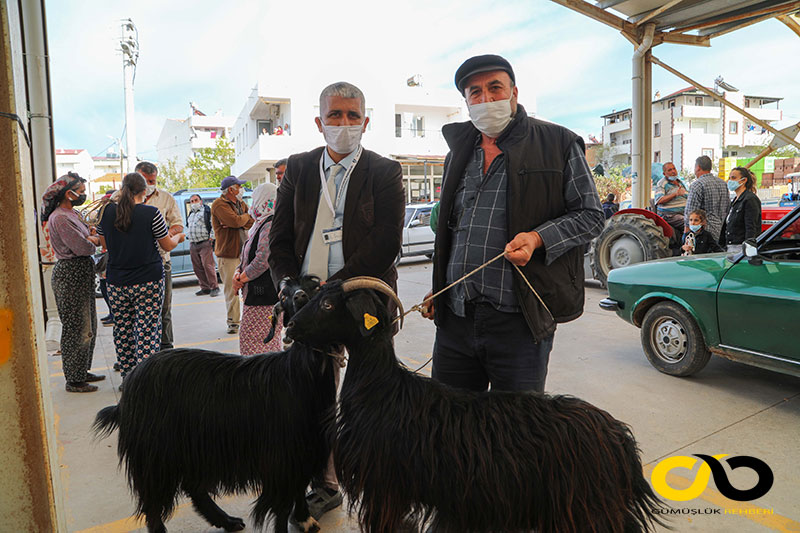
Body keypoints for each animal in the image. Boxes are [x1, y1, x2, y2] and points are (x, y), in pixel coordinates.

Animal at [93, 276, 332, 528]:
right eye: (284, 295)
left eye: (316, 286)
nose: (300, 297)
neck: (296, 373)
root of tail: (128, 390)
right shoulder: (281, 456)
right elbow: (283, 506)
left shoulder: (305, 451)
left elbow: (299, 489)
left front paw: (305, 519)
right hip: (156, 453)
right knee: (154, 506)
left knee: (193, 488)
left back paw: (227, 521)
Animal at [284, 278, 664, 532]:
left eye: (329, 305)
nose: (289, 328)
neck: (380, 389)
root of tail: (620, 442)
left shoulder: (385, 486)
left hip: (589, 511)